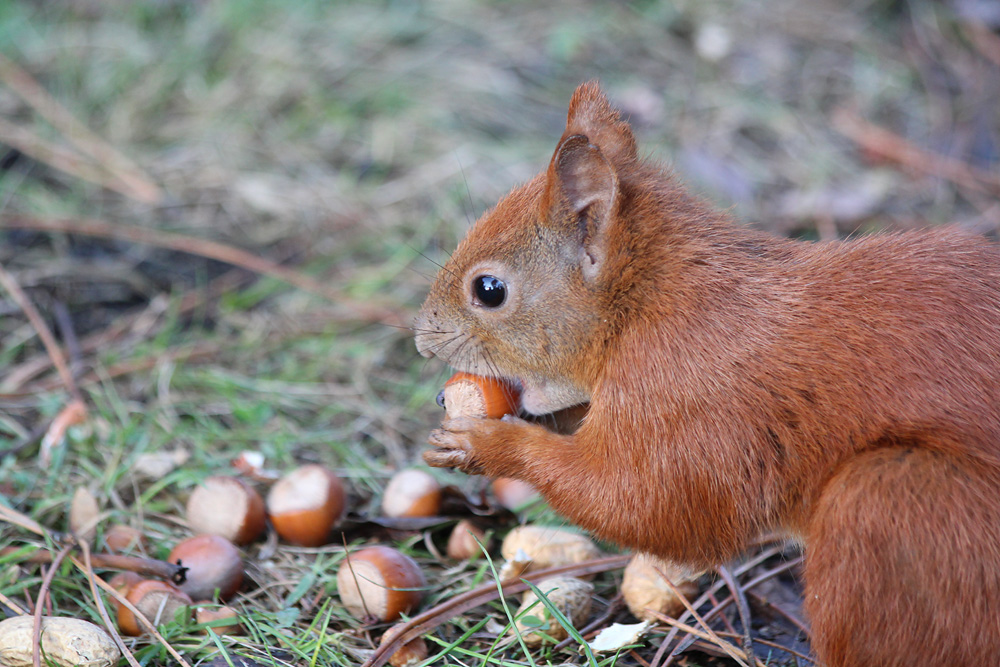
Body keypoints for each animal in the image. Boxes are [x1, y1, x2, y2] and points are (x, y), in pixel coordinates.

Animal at [412, 81, 1000, 664]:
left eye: (489, 290)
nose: (422, 341)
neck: (647, 303)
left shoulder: (685, 397)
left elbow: (641, 503)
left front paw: (486, 444)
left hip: (886, 504)